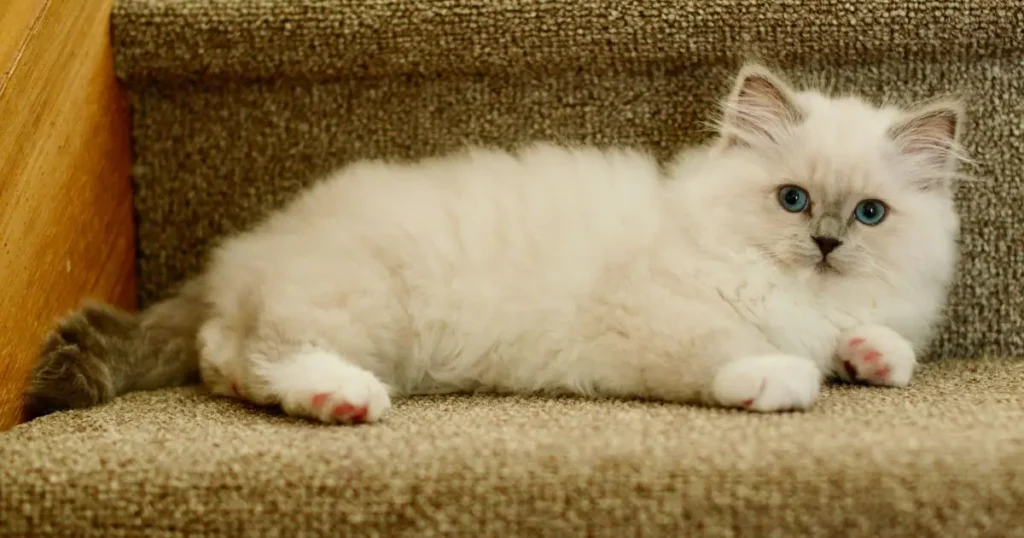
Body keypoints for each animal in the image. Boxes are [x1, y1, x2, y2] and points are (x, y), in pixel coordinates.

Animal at [24, 64, 966, 424]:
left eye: (870, 215)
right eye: (794, 199)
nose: (826, 244)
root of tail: (244, 251)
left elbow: (883, 345)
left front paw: (868, 355)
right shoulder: (659, 314)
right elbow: (739, 349)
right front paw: (782, 378)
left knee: (225, 355)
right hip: (362, 307)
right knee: (265, 358)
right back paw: (343, 399)